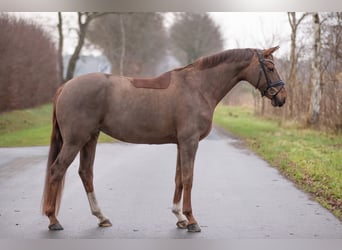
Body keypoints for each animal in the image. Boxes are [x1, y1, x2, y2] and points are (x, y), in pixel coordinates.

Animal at [41, 46, 286, 232]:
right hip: (75, 141)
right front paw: (192, 220)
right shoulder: (189, 142)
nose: (282, 98)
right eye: (270, 68)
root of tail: (65, 87)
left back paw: (102, 217)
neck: (198, 86)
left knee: (86, 173)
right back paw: (53, 220)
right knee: (57, 171)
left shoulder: (181, 143)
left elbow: (178, 178)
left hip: (90, 138)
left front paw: (180, 218)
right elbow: (188, 178)